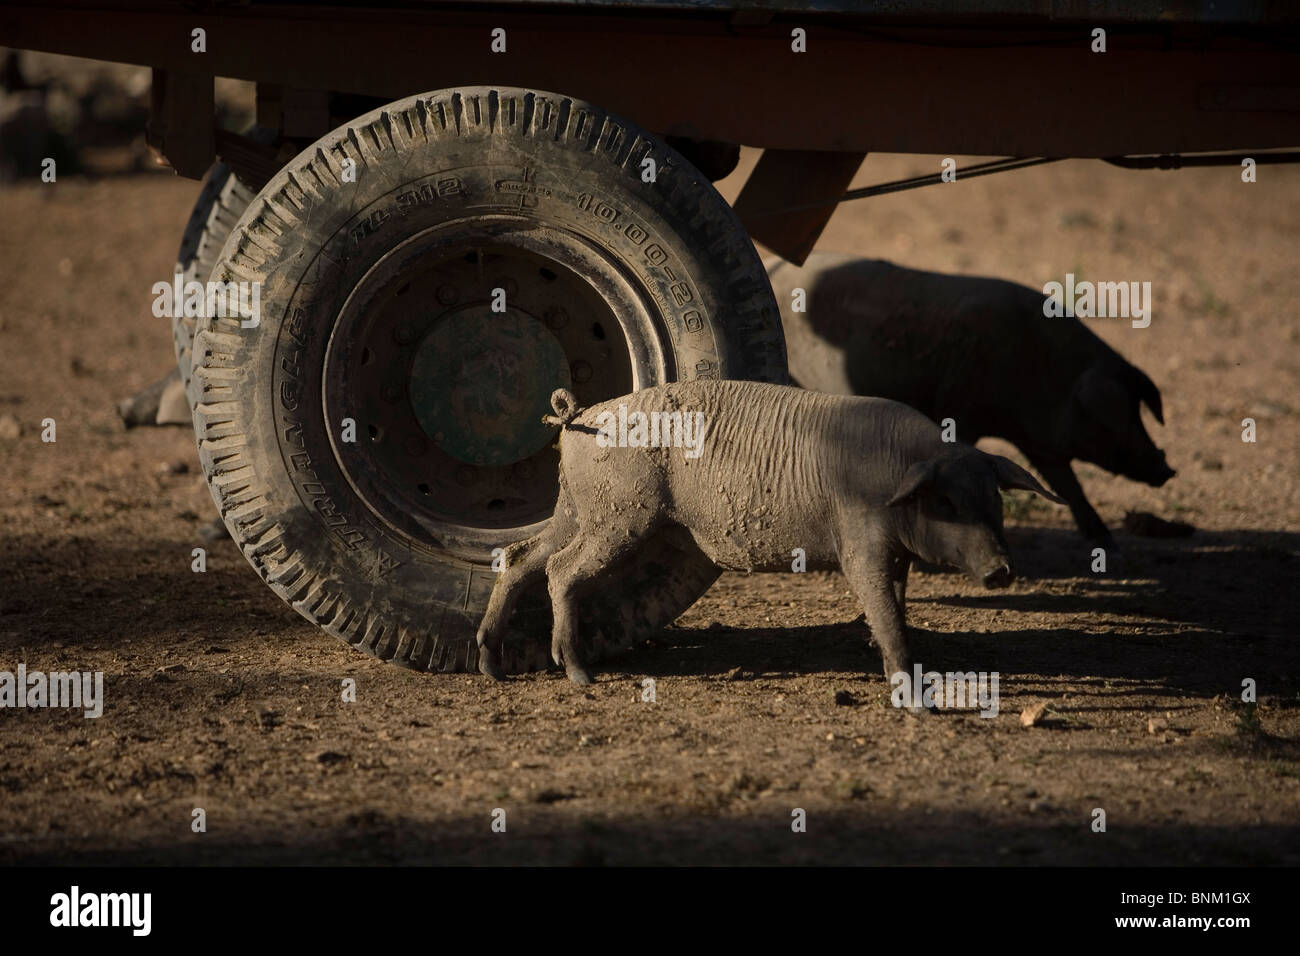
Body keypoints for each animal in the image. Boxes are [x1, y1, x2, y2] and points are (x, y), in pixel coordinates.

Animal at [473, 382, 1060, 686]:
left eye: (995, 500)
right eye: (947, 502)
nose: (1002, 571)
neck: (895, 472)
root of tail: (580, 417)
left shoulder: (898, 556)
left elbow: (895, 606)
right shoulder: (859, 542)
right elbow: (883, 608)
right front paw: (910, 693)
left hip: (576, 509)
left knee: (520, 556)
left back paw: (492, 668)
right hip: (618, 517)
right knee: (560, 571)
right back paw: (578, 676)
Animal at [764, 251, 1175, 541]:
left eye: (1139, 411)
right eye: (1118, 418)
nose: (1167, 468)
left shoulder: (1039, 442)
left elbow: (1067, 485)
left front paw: (1106, 542)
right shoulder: (962, 412)